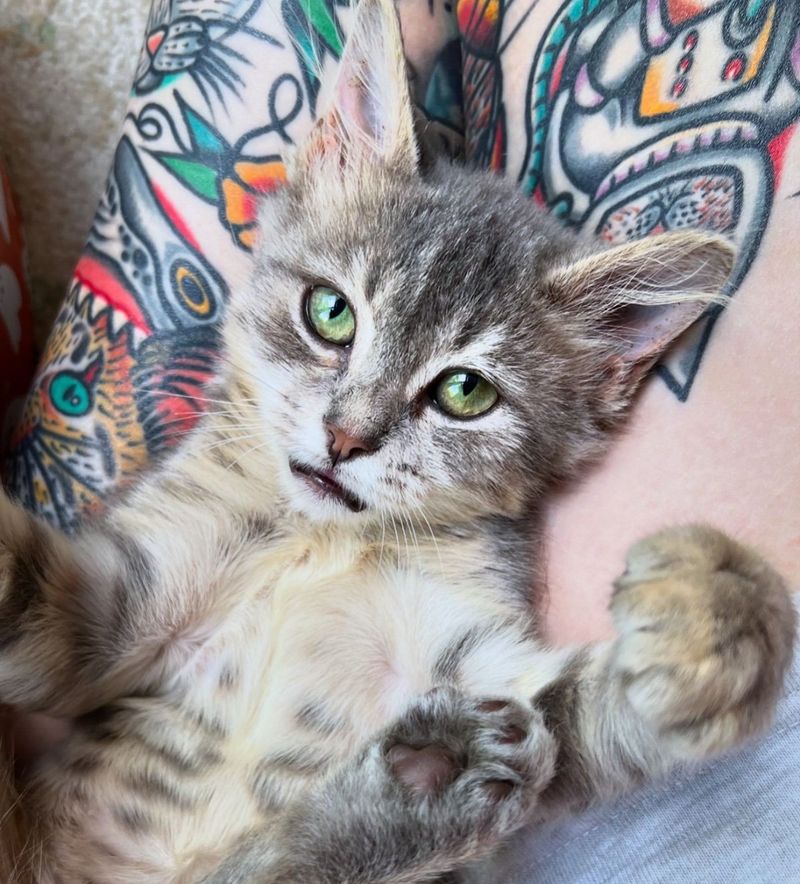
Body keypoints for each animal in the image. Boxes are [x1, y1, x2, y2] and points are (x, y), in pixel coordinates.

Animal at [0, 0, 792, 880]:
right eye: (330, 312)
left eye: (465, 392)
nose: (345, 438)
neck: (326, 544)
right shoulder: (126, 604)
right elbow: (44, 601)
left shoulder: (484, 661)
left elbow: (583, 715)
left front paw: (724, 615)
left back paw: (430, 781)